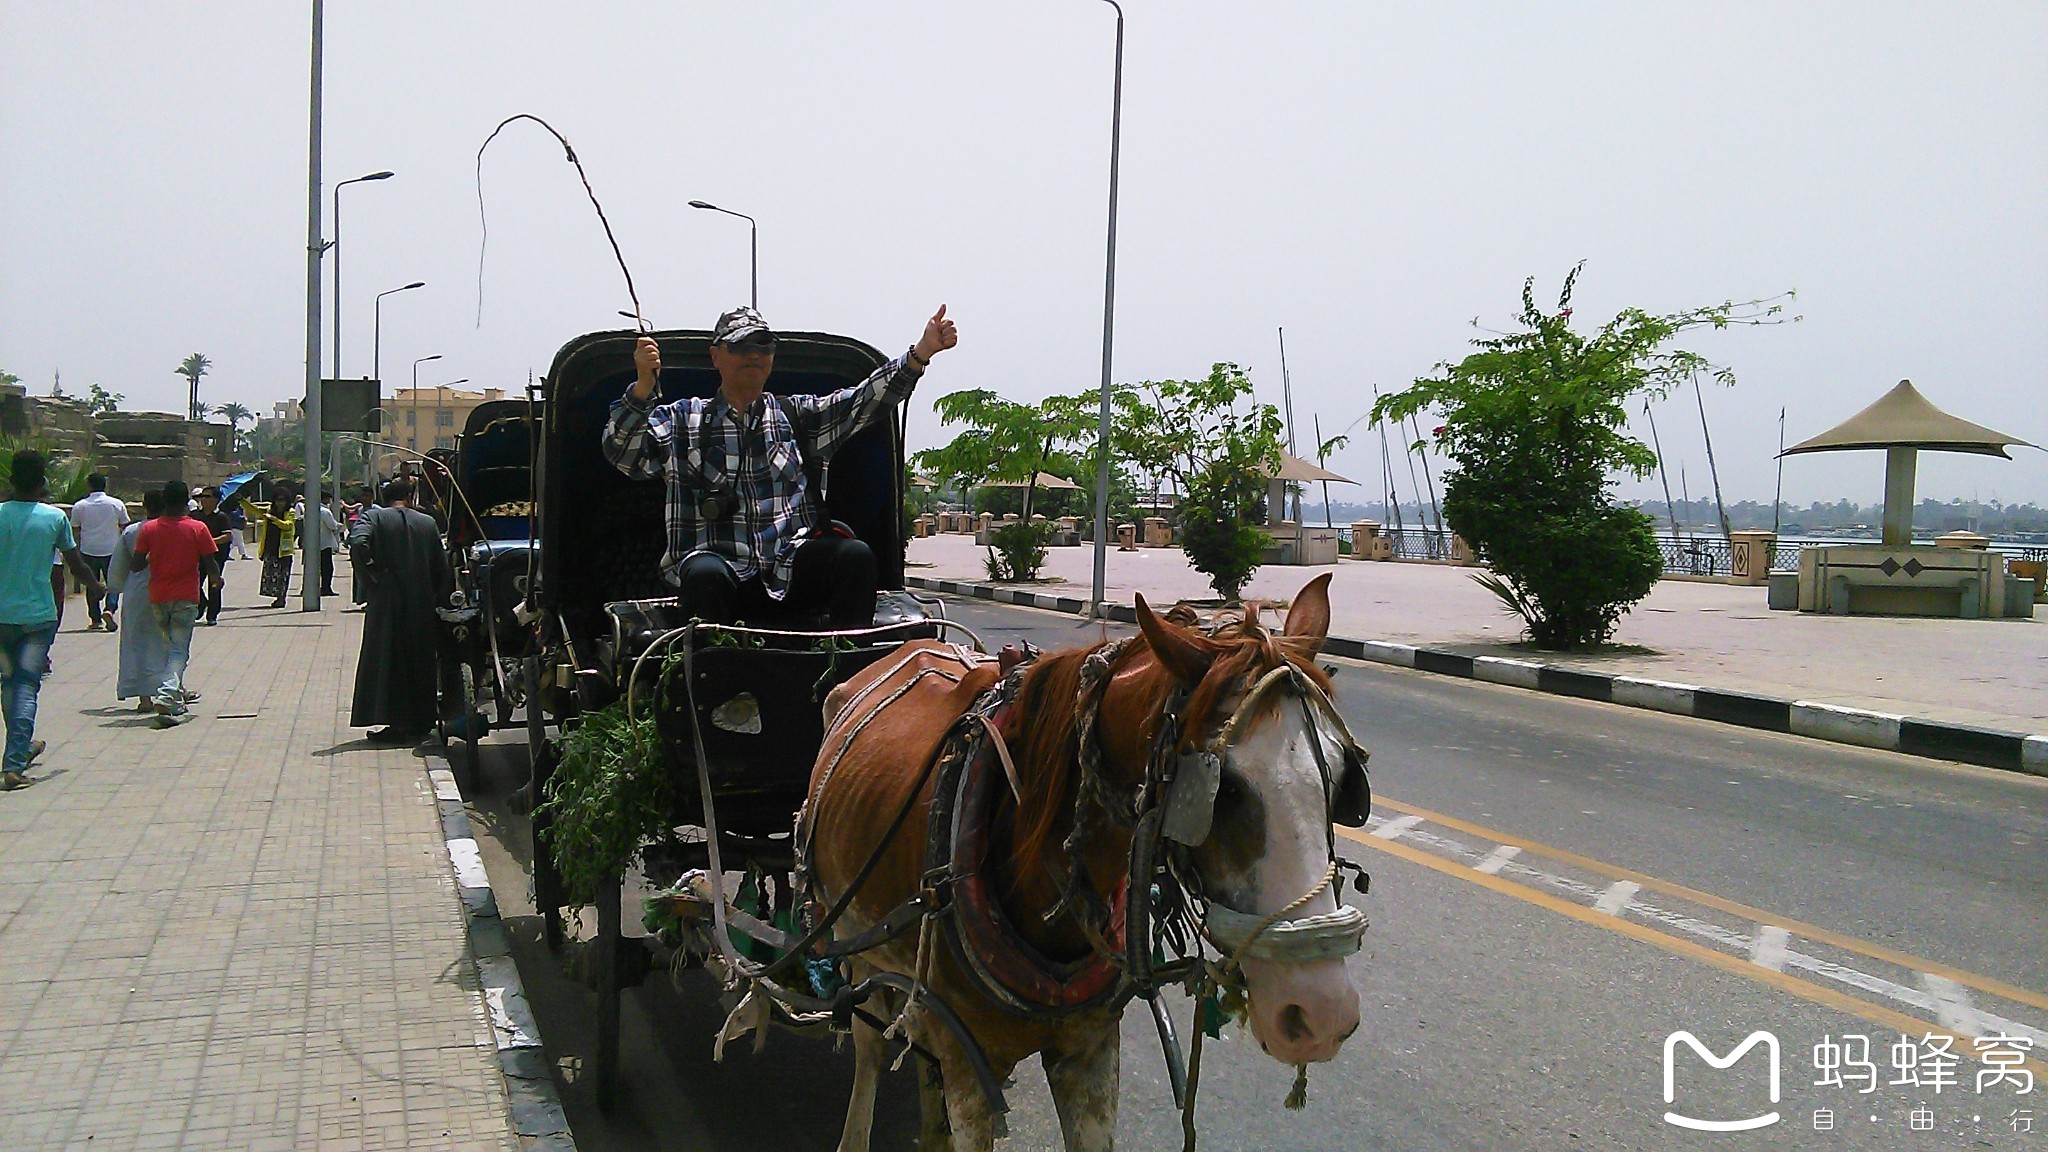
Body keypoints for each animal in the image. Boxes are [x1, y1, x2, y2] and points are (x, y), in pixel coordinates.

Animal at [806, 569, 1368, 1139]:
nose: (1321, 1013)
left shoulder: (1090, 1049)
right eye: (1224, 789)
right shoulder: (970, 1068)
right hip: (855, 944)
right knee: (870, 1045)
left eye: (1343, 778)